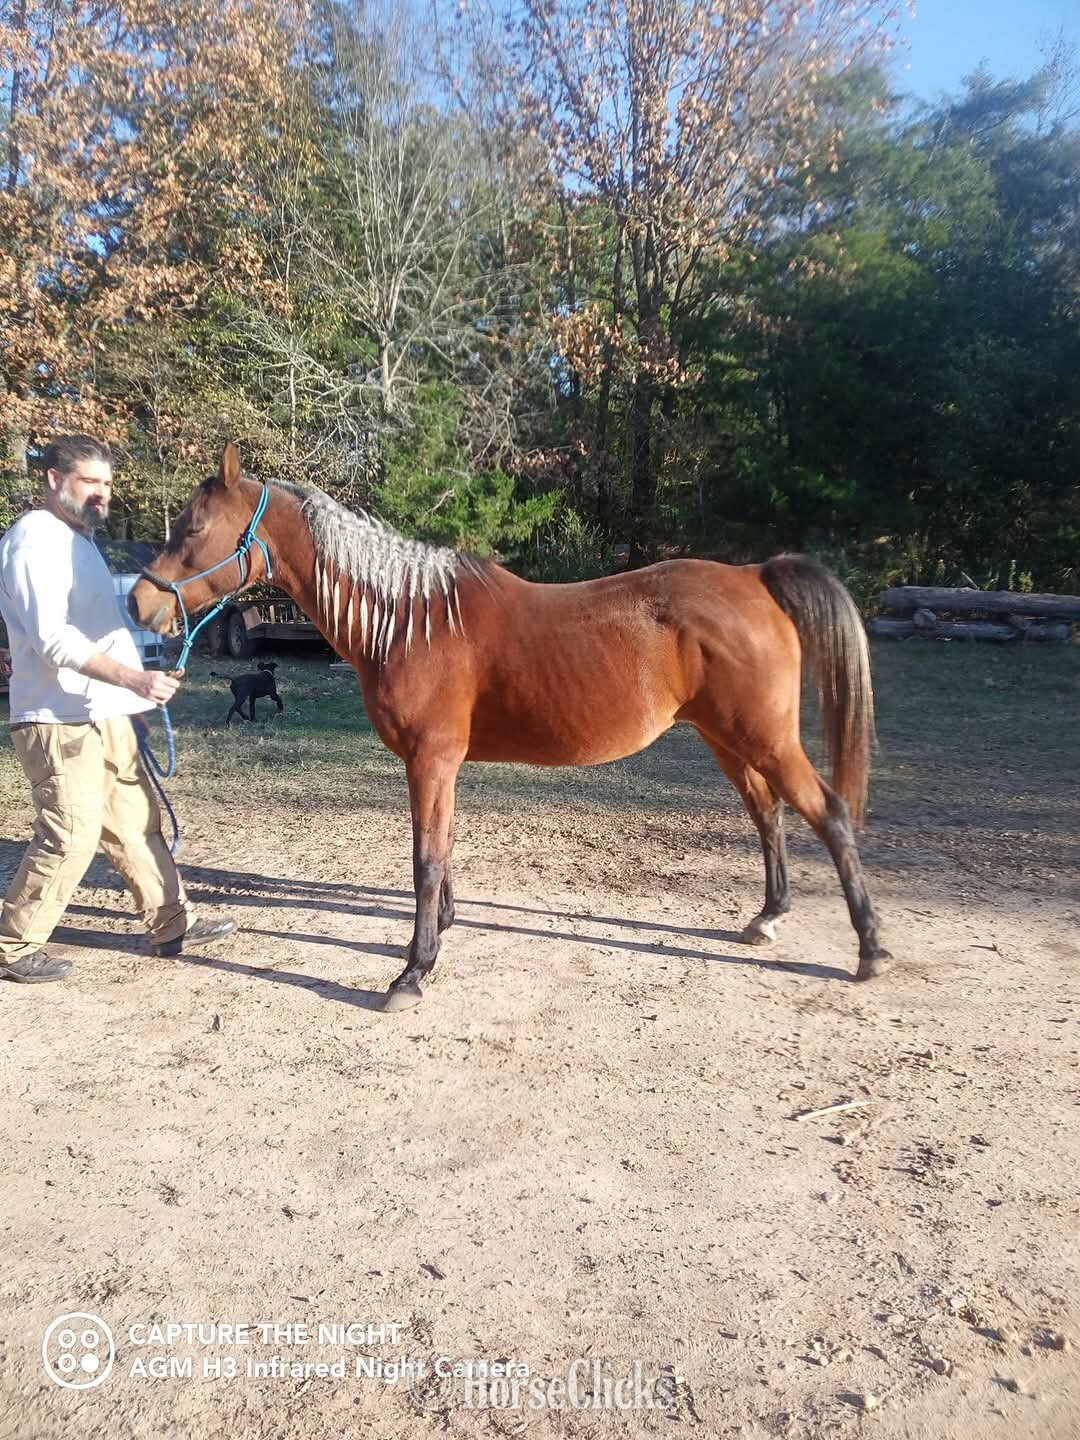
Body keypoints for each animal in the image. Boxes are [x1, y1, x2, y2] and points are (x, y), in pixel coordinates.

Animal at [130, 442, 891, 1012]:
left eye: (192, 528)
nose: (139, 604)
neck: (409, 619)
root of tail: (756, 576)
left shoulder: (431, 758)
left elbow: (425, 859)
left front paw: (413, 970)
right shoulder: (436, 763)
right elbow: (440, 850)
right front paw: (440, 932)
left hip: (763, 738)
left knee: (827, 813)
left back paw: (871, 950)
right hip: (726, 738)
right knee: (768, 815)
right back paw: (769, 917)